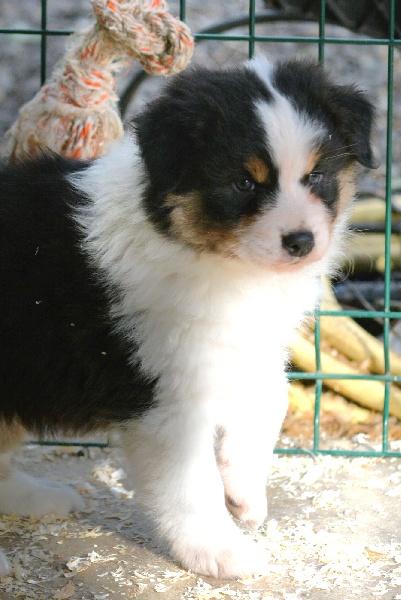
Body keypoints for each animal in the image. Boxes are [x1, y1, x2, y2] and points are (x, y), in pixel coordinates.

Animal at [0, 57, 377, 579]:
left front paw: (246, 497)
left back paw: (41, 499)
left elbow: (273, 398)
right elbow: (190, 484)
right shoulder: (167, 396)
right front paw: (222, 551)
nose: (300, 242)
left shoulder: (248, 344)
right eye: (243, 182)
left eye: (316, 175)